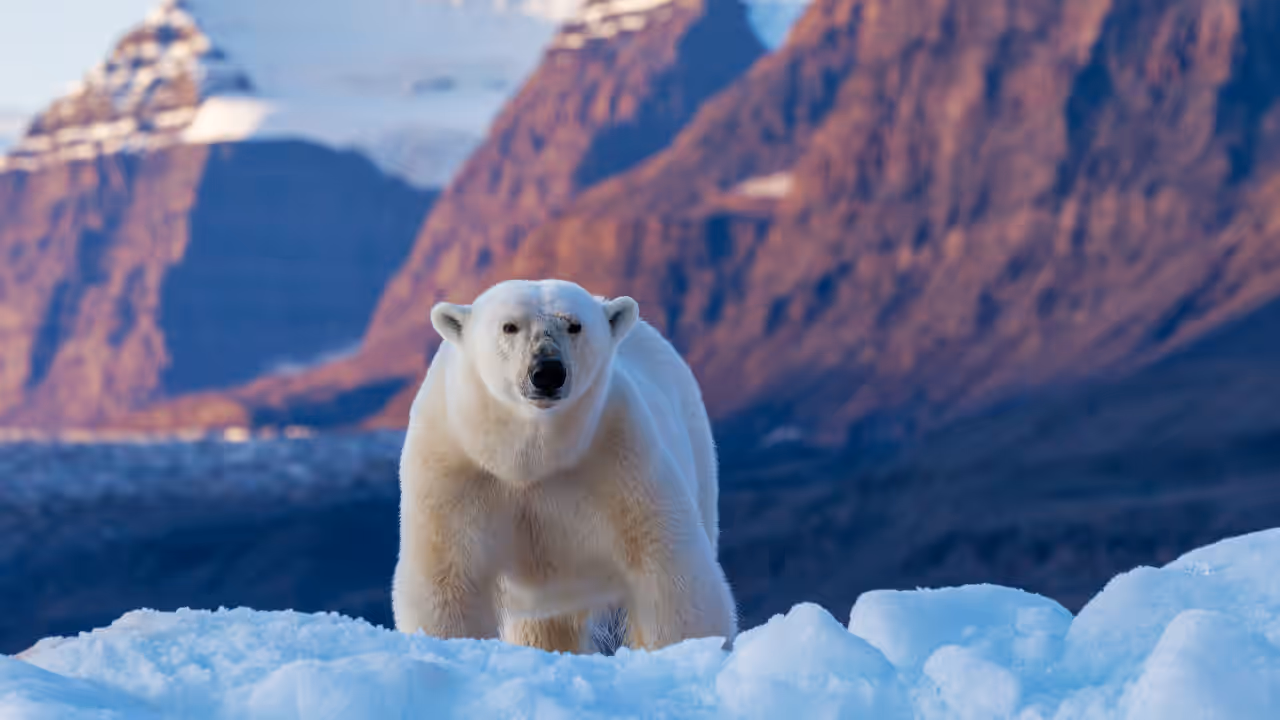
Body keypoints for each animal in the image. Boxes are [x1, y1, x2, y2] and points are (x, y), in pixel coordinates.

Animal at [391, 278, 737, 654]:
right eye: (509, 326)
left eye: (575, 325)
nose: (547, 372)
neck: (530, 459)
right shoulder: (454, 471)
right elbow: (448, 582)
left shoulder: (619, 457)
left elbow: (666, 566)